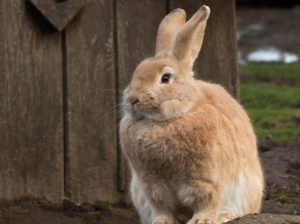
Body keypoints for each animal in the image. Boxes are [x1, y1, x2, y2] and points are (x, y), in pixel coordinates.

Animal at [118, 4, 264, 224]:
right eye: (137, 72)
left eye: (165, 78)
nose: (133, 99)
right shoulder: (151, 184)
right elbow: (161, 207)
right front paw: (161, 221)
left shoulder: (205, 179)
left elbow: (206, 201)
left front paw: (201, 221)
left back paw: (224, 215)